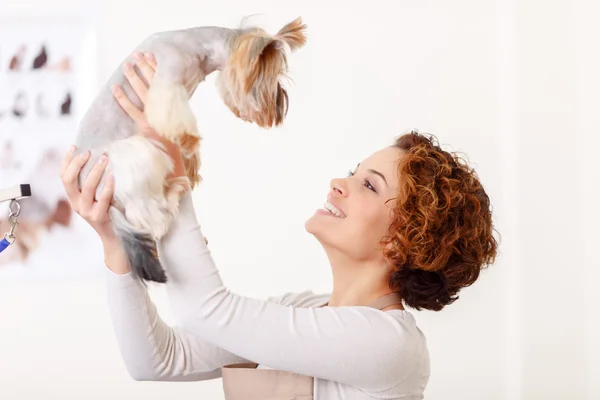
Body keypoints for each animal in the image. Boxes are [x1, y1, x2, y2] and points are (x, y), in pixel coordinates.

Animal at [74, 17, 308, 282]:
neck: (198, 45)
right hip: (132, 158)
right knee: (153, 221)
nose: (280, 104)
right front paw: (189, 140)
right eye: (272, 76)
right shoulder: (167, 82)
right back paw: (175, 192)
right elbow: (176, 116)